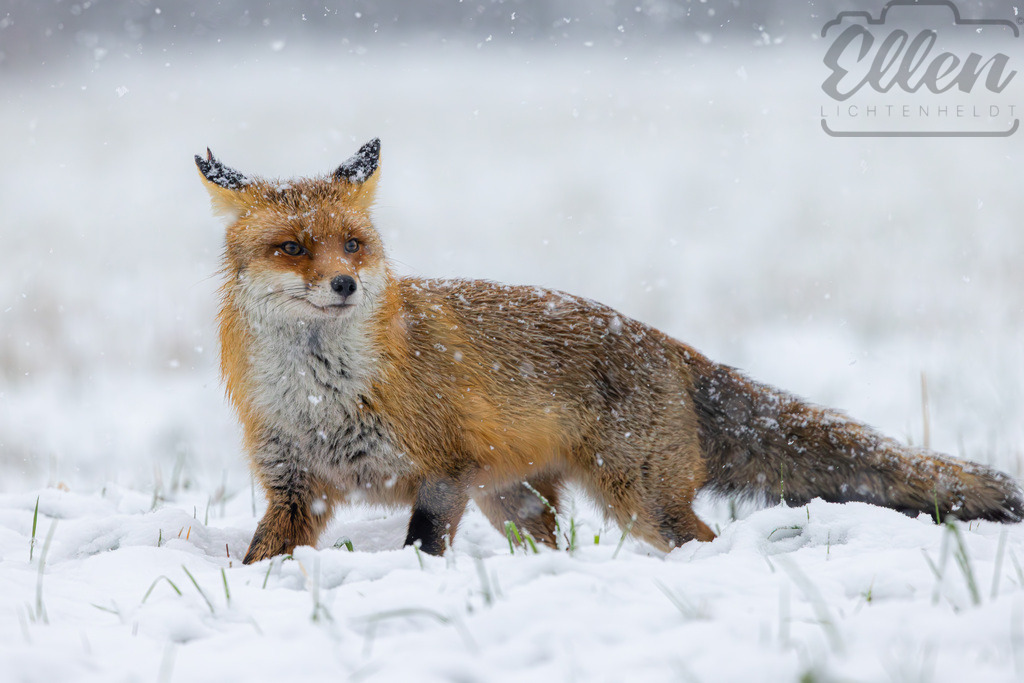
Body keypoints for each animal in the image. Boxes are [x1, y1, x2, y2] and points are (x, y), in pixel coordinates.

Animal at [196, 138, 1023, 564]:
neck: (321, 393)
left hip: (641, 498)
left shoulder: (443, 471)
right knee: (554, 545)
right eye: (292, 247)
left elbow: (423, 545)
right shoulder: (296, 486)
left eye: (353, 245)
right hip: (518, 502)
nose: (342, 283)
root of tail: (670, 344)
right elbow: (260, 558)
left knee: (702, 539)